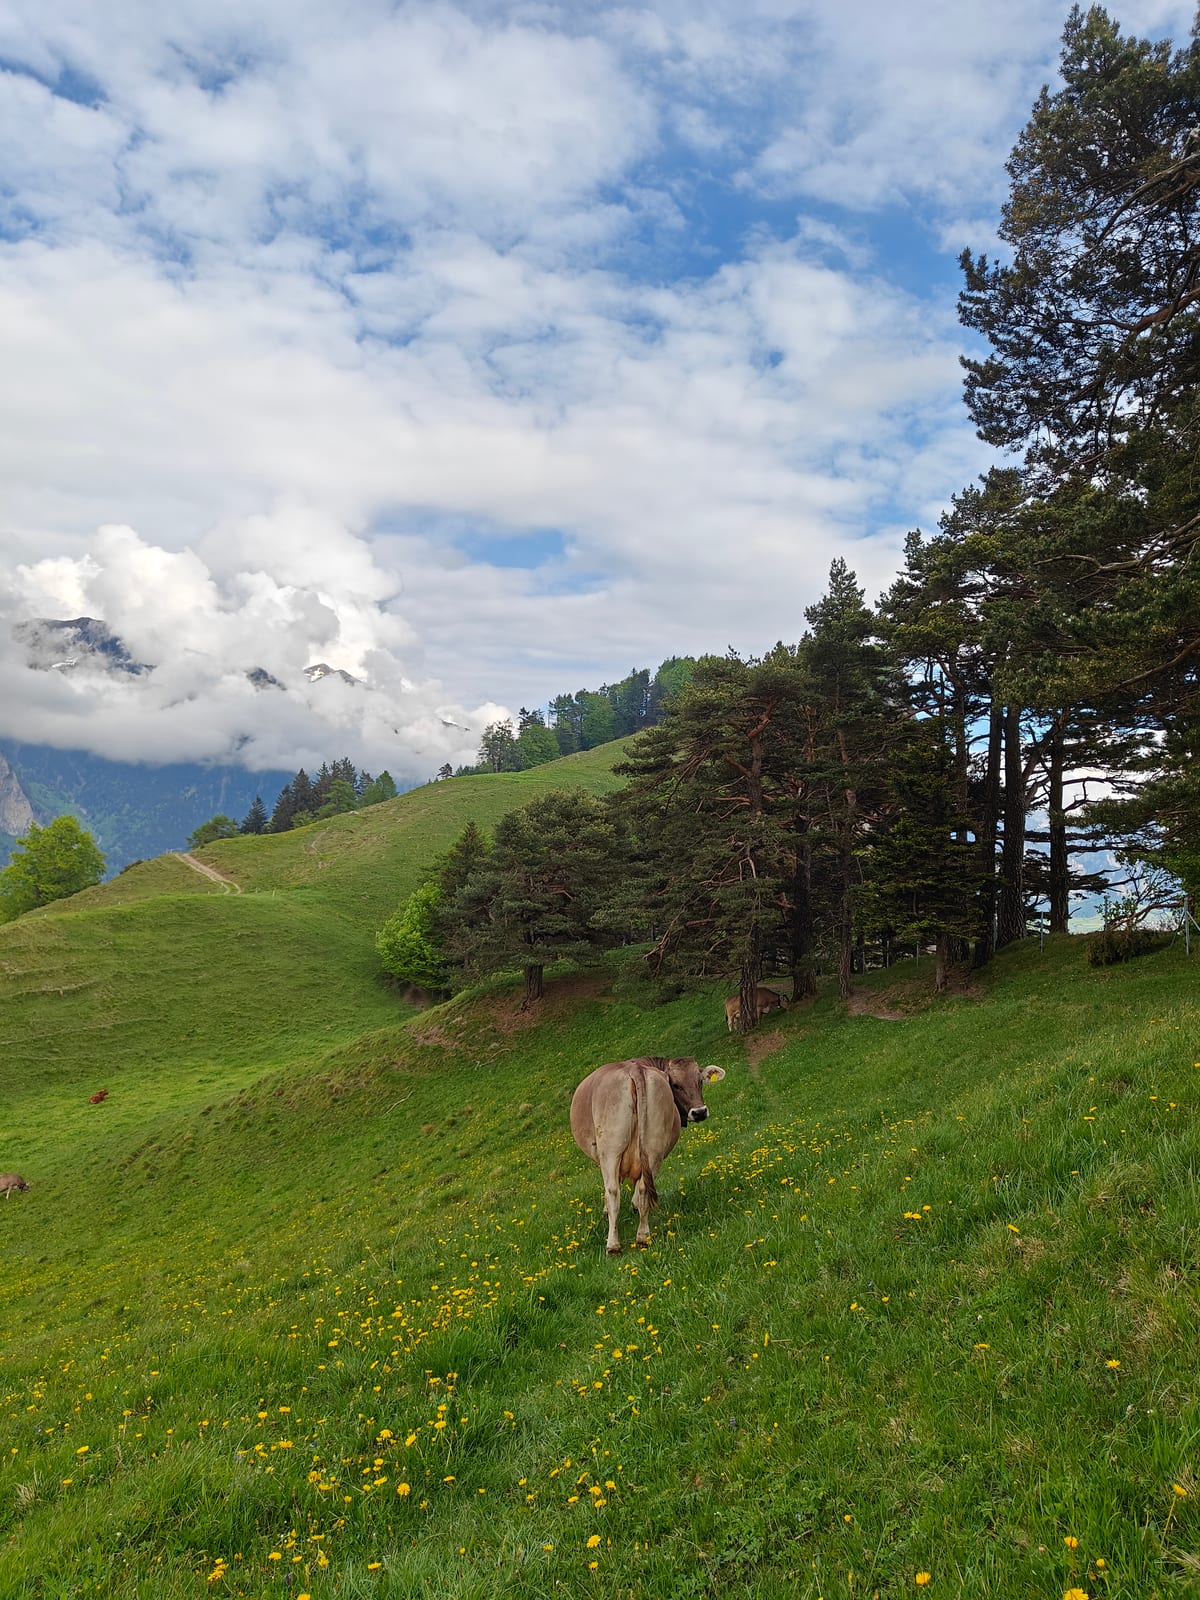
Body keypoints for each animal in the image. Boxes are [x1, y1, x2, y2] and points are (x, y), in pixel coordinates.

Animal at [570, 1056, 725, 1255]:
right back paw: (643, 1236)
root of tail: (635, 1069)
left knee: (613, 1191)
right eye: (675, 1085)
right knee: (644, 1187)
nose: (699, 1112)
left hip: (611, 1150)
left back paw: (613, 1245)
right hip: (653, 1147)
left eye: (700, 1081)